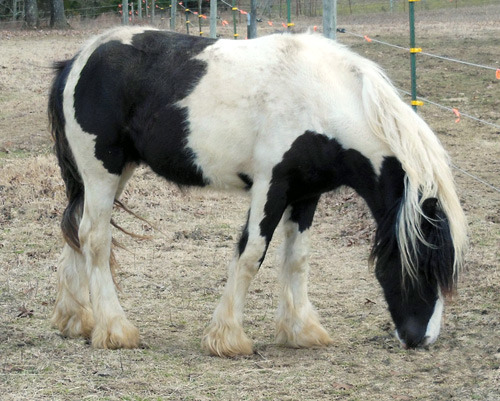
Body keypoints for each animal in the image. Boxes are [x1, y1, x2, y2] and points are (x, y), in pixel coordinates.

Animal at [48, 26, 466, 354]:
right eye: (422, 264)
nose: (420, 339)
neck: (323, 101)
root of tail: (77, 60)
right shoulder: (271, 186)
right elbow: (251, 254)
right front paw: (227, 337)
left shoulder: (306, 194)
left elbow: (296, 259)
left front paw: (301, 331)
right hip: (102, 171)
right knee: (95, 238)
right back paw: (115, 330)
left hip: (112, 174)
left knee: (76, 231)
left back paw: (76, 321)